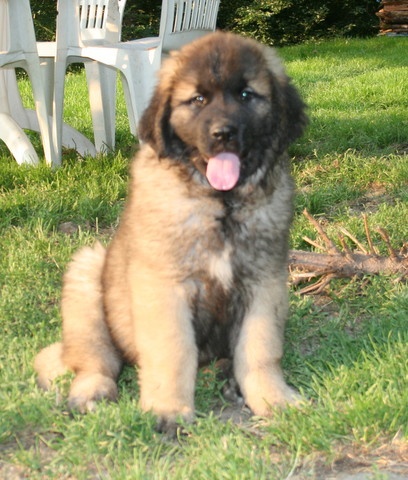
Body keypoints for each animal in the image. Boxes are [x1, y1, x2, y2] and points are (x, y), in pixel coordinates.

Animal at [35, 31, 308, 433]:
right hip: (88, 274)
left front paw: (272, 397)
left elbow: (260, 350)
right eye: (198, 100)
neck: (219, 204)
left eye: (246, 95)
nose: (223, 134)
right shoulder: (164, 287)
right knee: (96, 359)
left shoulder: (263, 283)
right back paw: (91, 391)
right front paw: (169, 408)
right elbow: (173, 352)